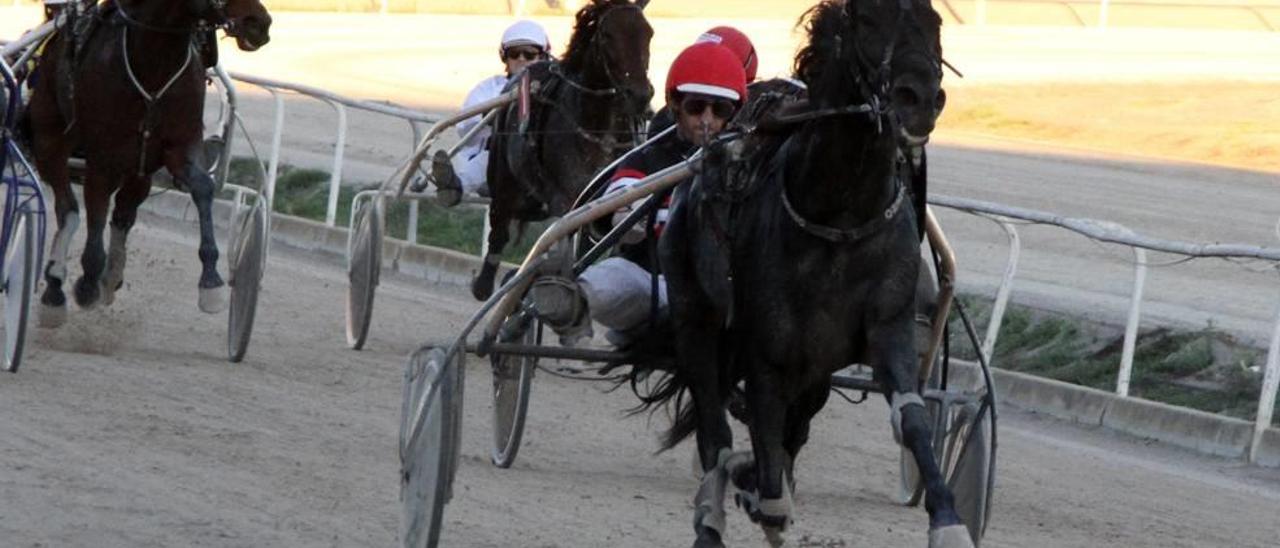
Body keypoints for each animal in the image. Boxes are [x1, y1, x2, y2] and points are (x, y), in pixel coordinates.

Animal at [24, 0, 271, 325]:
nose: (259, 22)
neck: (154, 61)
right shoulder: (102, 159)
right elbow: (94, 213)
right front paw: (88, 282)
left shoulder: (178, 148)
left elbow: (203, 188)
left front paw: (211, 283)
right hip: (49, 139)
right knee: (68, 208)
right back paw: (56, 288)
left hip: (138, 170)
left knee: (123, 213)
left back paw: (110, 277)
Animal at [471, 0, 650, 299]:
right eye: (607, 35)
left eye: (648, 33)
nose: (641, 95)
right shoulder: (565, 197)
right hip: (504, 178)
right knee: (499, 228)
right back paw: (485, 285)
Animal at [650, 1, 962, 548]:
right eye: (867, 20)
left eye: (935, 22)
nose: (919, 97)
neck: (841, 217)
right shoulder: (766, 351)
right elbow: (765, 458)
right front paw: (757, 493)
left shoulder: (889, 328)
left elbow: (913, 419)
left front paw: (948, 522)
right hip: (695, 317)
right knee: (714, 429)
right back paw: (714, 516)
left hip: (813, 369)